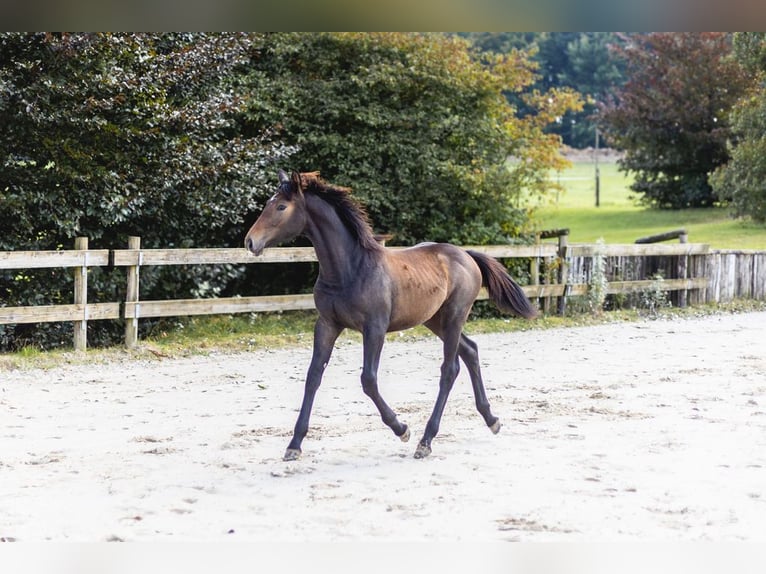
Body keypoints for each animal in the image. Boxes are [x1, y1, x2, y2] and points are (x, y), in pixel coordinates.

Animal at [246, 169, 540, 462]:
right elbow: (313, 376)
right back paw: (491, 419)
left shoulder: (374, 328)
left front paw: (402, 429)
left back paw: (426, 440)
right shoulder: (327, 324)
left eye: (281, 207)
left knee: (450, 368)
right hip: (434, 319)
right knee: (470, 351)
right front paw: (294, 445)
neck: (350, 269)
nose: (250, 241)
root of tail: (466, 255)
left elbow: (368, 380)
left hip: (455, 315)